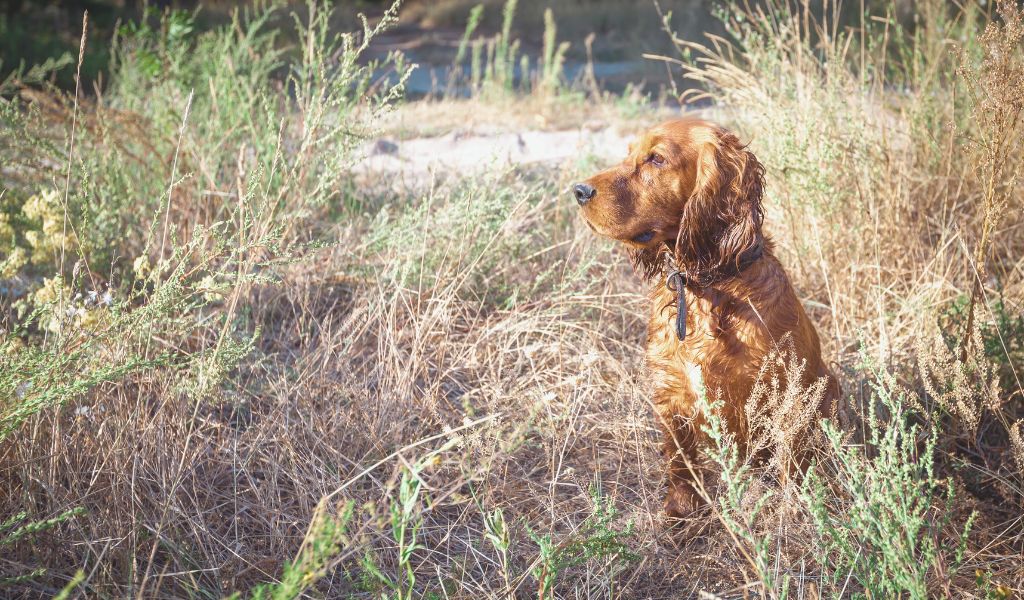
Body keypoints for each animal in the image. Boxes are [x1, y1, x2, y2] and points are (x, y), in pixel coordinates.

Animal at [573, 117, 835, 518]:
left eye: (657, 159)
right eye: (629, 153)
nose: (579, 191)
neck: (705, 287)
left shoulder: (783, 397)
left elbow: (792, 464)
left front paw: (797, 512)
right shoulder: (671, 391)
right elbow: (680, 461)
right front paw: (681, 510)